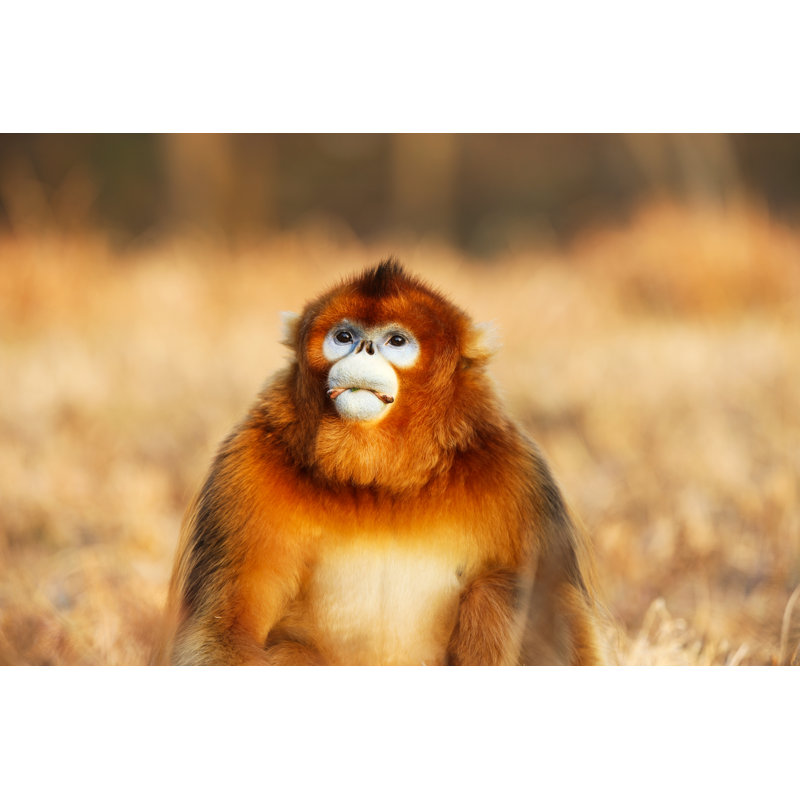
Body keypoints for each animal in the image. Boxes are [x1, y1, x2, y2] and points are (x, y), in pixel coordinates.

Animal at [155, 259, 602, 665]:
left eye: (396, 341)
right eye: (344, 336)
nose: (363, 348)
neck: (380, 482)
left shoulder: (517, 470)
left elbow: (573, 628)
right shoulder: (246, 463)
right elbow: (222, 630)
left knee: (499, 591)